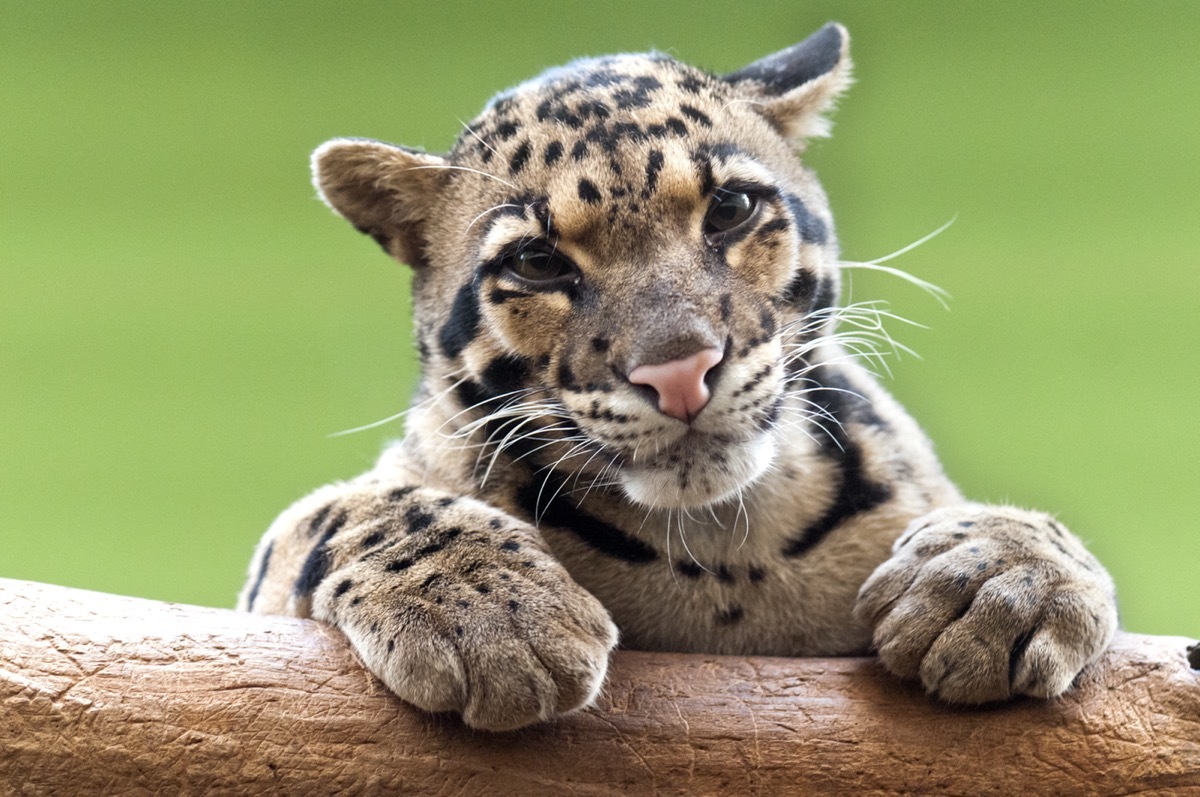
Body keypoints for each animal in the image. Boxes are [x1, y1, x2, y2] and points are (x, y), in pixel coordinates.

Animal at [239, 22, 1118, 731]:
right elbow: (348, 509)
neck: (724, 551)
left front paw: (1000, 575)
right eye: (537, 262)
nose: (680, 370)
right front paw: (488, 610)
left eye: (730, 209)